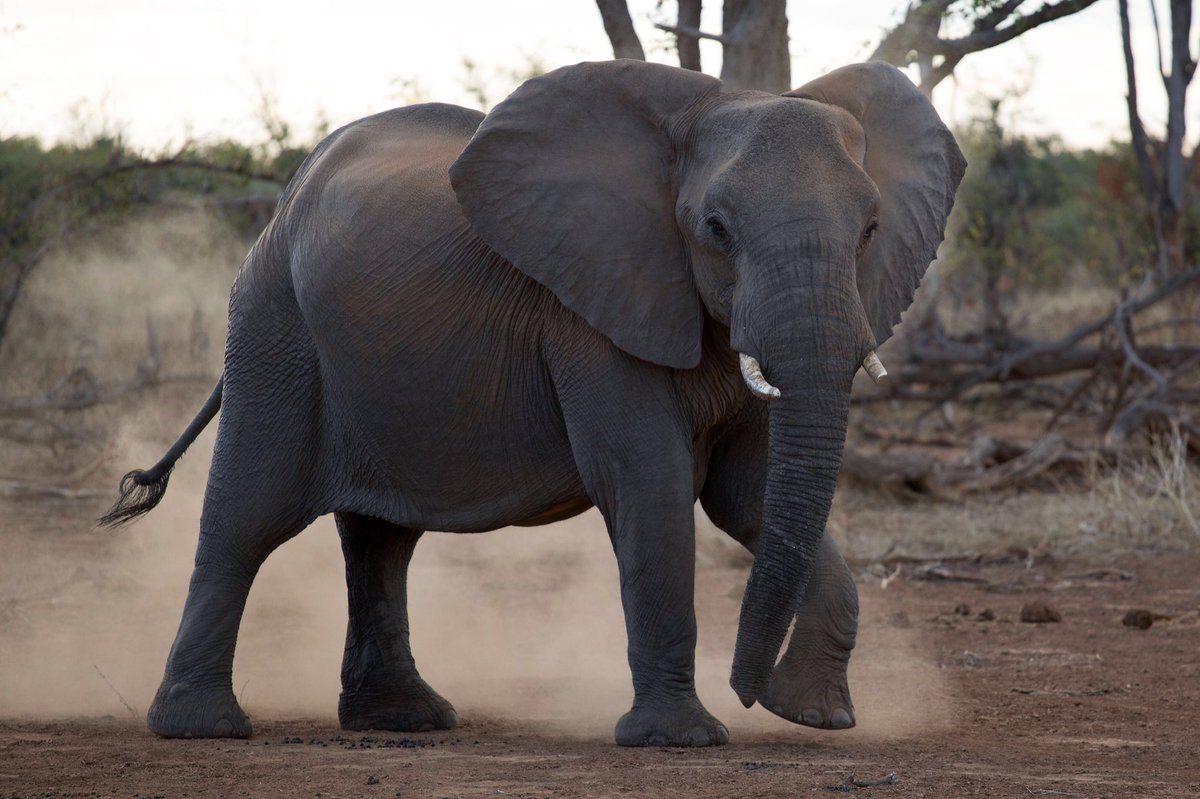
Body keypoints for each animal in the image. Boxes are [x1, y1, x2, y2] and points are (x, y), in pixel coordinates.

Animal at [100, 59, 964, 746]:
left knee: (381, 538)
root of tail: (286, 198)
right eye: (715, 227)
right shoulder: (588, 311)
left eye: (872, 228)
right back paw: (202, 726)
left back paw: (405, 720)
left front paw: (818, 716)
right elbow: (649, 482)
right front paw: (681, 739)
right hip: (273, 327)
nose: (751, 692)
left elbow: (747, 498)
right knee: (248, 514)